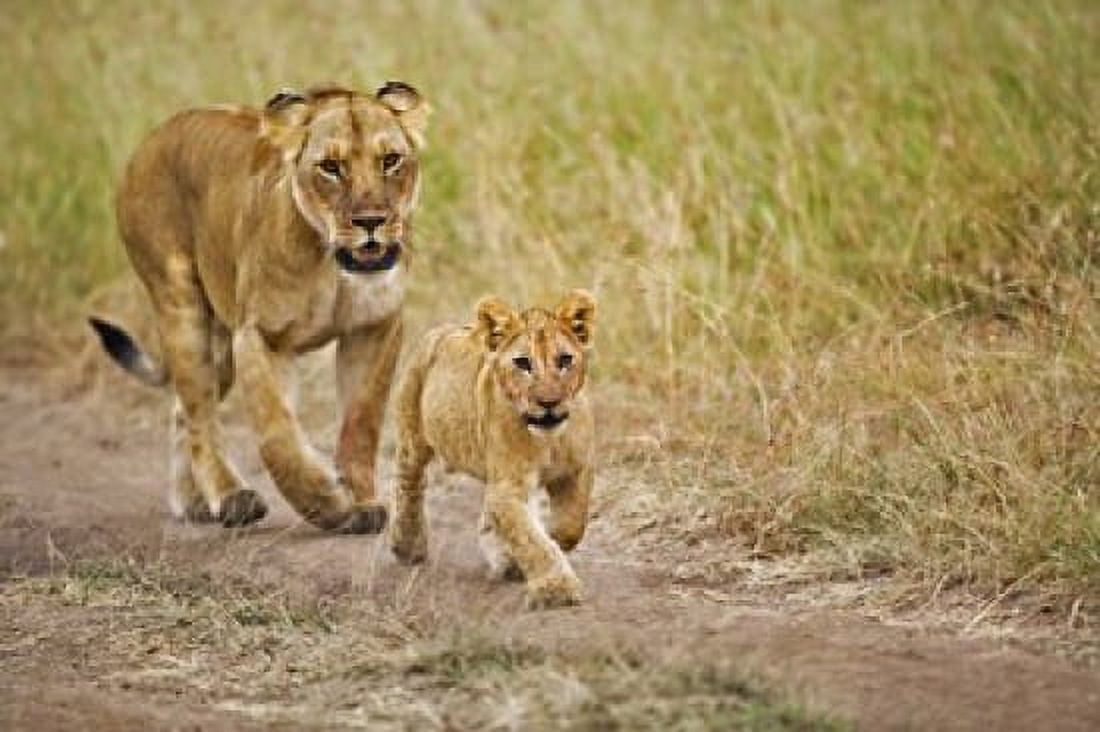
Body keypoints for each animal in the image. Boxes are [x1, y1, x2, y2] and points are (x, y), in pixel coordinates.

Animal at [88, 82, 429, 532]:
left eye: (390, 160)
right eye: (331, 167)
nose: (371, 221)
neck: (332, 264)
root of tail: (152, 138)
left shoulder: (375, 327)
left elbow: (362, 420)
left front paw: (363, 504)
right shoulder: (261, 334)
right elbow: (276, 431)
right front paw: (325, 500)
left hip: (219, 346)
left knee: (183, 409)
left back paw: (193, 503)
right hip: (181, 305)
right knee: (199, 411)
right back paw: (231, 497)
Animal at [389, 290, 596, 609]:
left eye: (565, 359)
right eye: (523, 363)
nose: (548, 403)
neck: (547, 439)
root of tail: (444, 329)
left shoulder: (575, 471)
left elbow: (570, 527)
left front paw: (521, 556)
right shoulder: (508, 485)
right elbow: (530, 538)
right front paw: (555, 588)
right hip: (413, 438)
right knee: (409, 485)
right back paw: (408, 545)